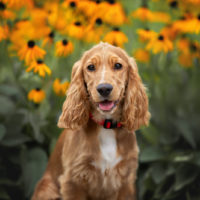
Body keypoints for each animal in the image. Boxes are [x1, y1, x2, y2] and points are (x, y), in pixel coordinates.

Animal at [31, 42, 150, 200]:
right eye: (91, 67)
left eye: (118, 65)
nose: (104, 88)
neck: (106, 126)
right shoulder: (73, 181)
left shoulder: (126, 180)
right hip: (47, 189)